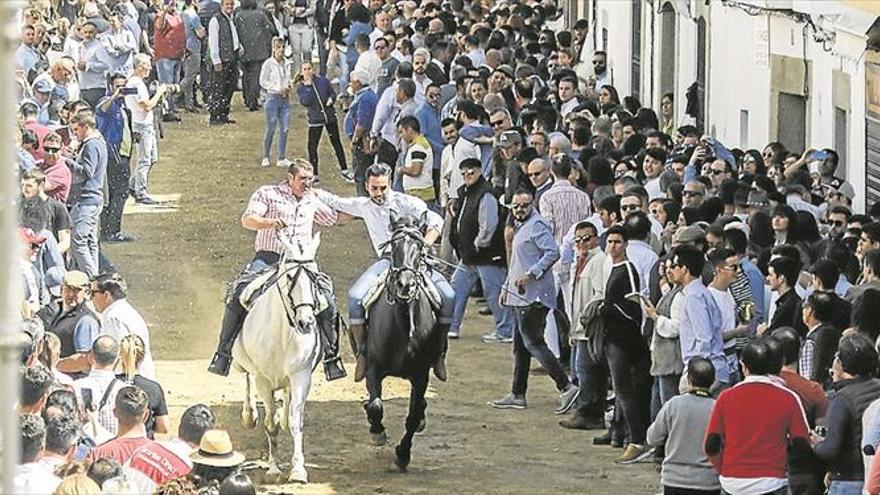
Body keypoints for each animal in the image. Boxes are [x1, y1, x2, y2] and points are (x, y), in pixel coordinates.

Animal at [232, 233, 324, 484]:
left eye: (314, 275)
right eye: (291, 276)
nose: (306, 322)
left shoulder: (301, 376)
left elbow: (295, 422)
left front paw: (298, 470)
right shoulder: (263, 380)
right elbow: (269, 423)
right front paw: (273, 468)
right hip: (241, 361)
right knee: (245, 378)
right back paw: (249, 415)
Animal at [360, 213, 444, 472]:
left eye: (418, 247)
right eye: (394, 245)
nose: (405, 284)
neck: (405, 328)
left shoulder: (421, 375)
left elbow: (413, 415)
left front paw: (403, 454)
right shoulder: (373, 368)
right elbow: (376, 406)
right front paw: (377, 432)